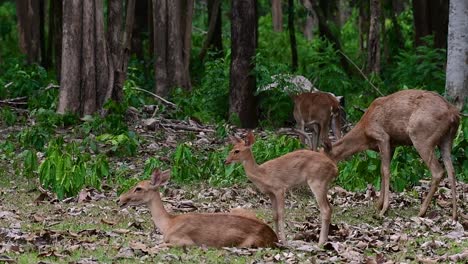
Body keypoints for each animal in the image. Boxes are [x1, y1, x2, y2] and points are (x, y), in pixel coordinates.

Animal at [118, 169, 278, 248]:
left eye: (138, 188)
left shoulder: (184, 240)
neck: (168, 224)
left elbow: (159, 245)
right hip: (238, 209)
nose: (119, 199)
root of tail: (274, 237)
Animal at [330, 89, 460, 220]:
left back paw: (422, 212)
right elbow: (382, 171)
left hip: (421, 136)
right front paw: (378, 205)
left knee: (438, 171)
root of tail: (453, 114)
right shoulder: (392, 145)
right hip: (447, 140)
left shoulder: (382, 137)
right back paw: (454, 215)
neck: (365, 133)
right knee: (451, 170)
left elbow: (386, 171)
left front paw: (384, 209)